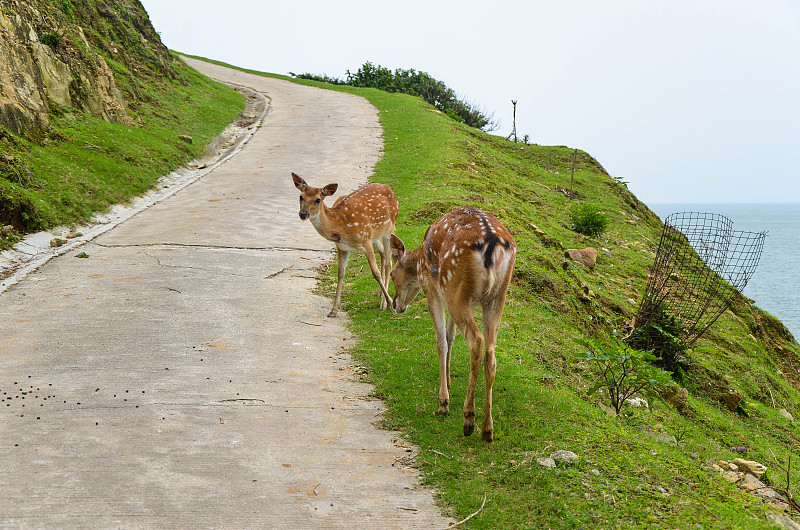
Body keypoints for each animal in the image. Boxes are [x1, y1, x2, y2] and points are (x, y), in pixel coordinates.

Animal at [290, 171, 396, 316]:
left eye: (318, 200)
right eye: (301, 197)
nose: (303, 213)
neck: (341, 225)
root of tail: (390, 189)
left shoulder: (365, 239)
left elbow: (375, 272)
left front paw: (391, 304)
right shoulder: (342, 247)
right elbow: (340, 273)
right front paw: (333, 310)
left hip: (389, 229)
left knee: (388, 264)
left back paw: (384, 303)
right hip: (376, 235)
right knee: (382, 254)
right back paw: (381, 294)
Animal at [390, 206, 516, 442]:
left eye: (392, 275)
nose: (395, 305)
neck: (420, 260)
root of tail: (492, 242)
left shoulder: (433, 289)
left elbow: (441, 341)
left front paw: (443, 401)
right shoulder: (448, 296)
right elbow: (451, 337)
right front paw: (448, 381)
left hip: (456, 287)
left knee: (476, 341)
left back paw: (468, 420)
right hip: (496, 296)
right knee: (491, 353)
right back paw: (487, 429)